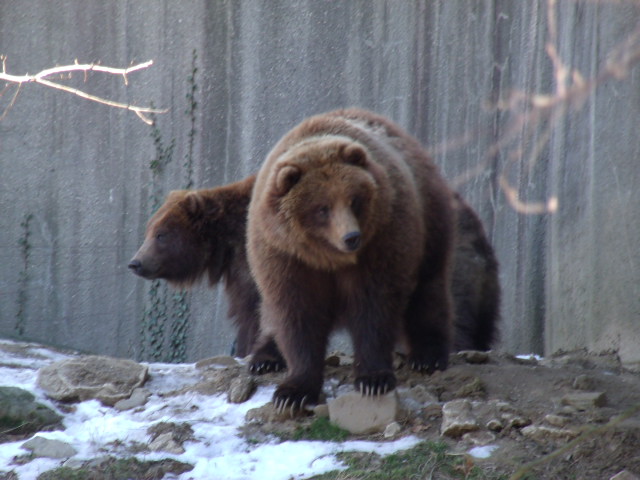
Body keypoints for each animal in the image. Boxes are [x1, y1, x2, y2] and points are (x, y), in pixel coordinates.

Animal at [247, 108, 456, 410]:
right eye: (322, 208)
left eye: (354, 200)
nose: (351, 237)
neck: (328, 258)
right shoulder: (286, 257)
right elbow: (297, 315)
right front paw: (293, 392)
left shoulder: (383, 242)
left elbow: (375, 308)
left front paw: (373, 379)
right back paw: (264, 358)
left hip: (430, 223)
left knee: (429, 291)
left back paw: (427, 356)